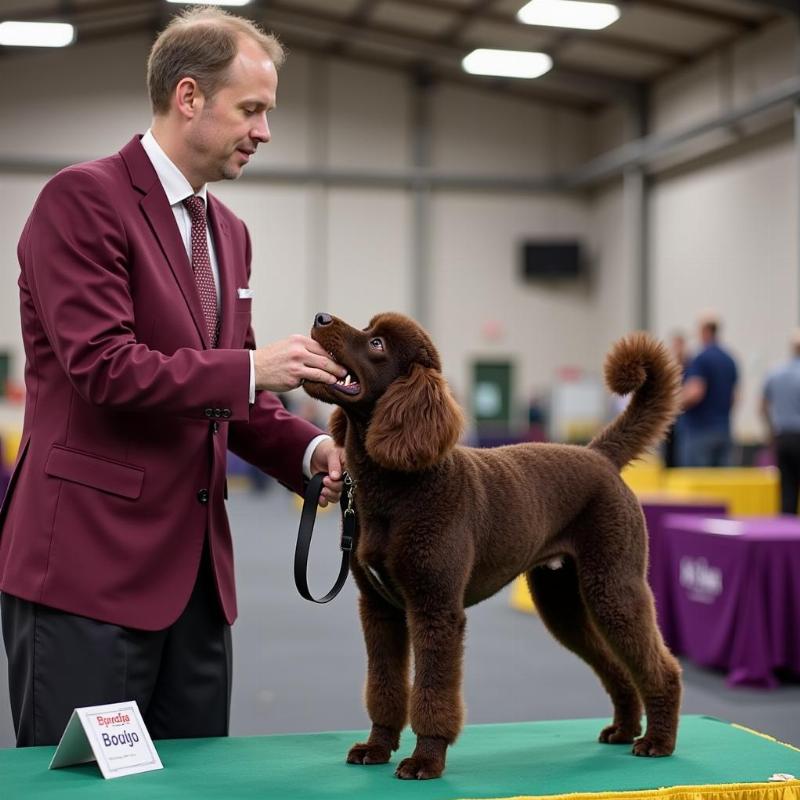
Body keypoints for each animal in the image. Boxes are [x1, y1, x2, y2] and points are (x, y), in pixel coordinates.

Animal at [302, 310, 680, 780]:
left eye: (377, 344)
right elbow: (384, 687)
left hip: (613, 585)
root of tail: (600, 456)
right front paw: (376, 747)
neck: (400, 488)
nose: (320, 317)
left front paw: (425, 760)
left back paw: (657, 742)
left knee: (660, 667)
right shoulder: (378, 608)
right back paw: (624, 730)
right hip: (562, 602)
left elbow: (432, 692)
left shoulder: (436, 609)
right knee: (616, 666)